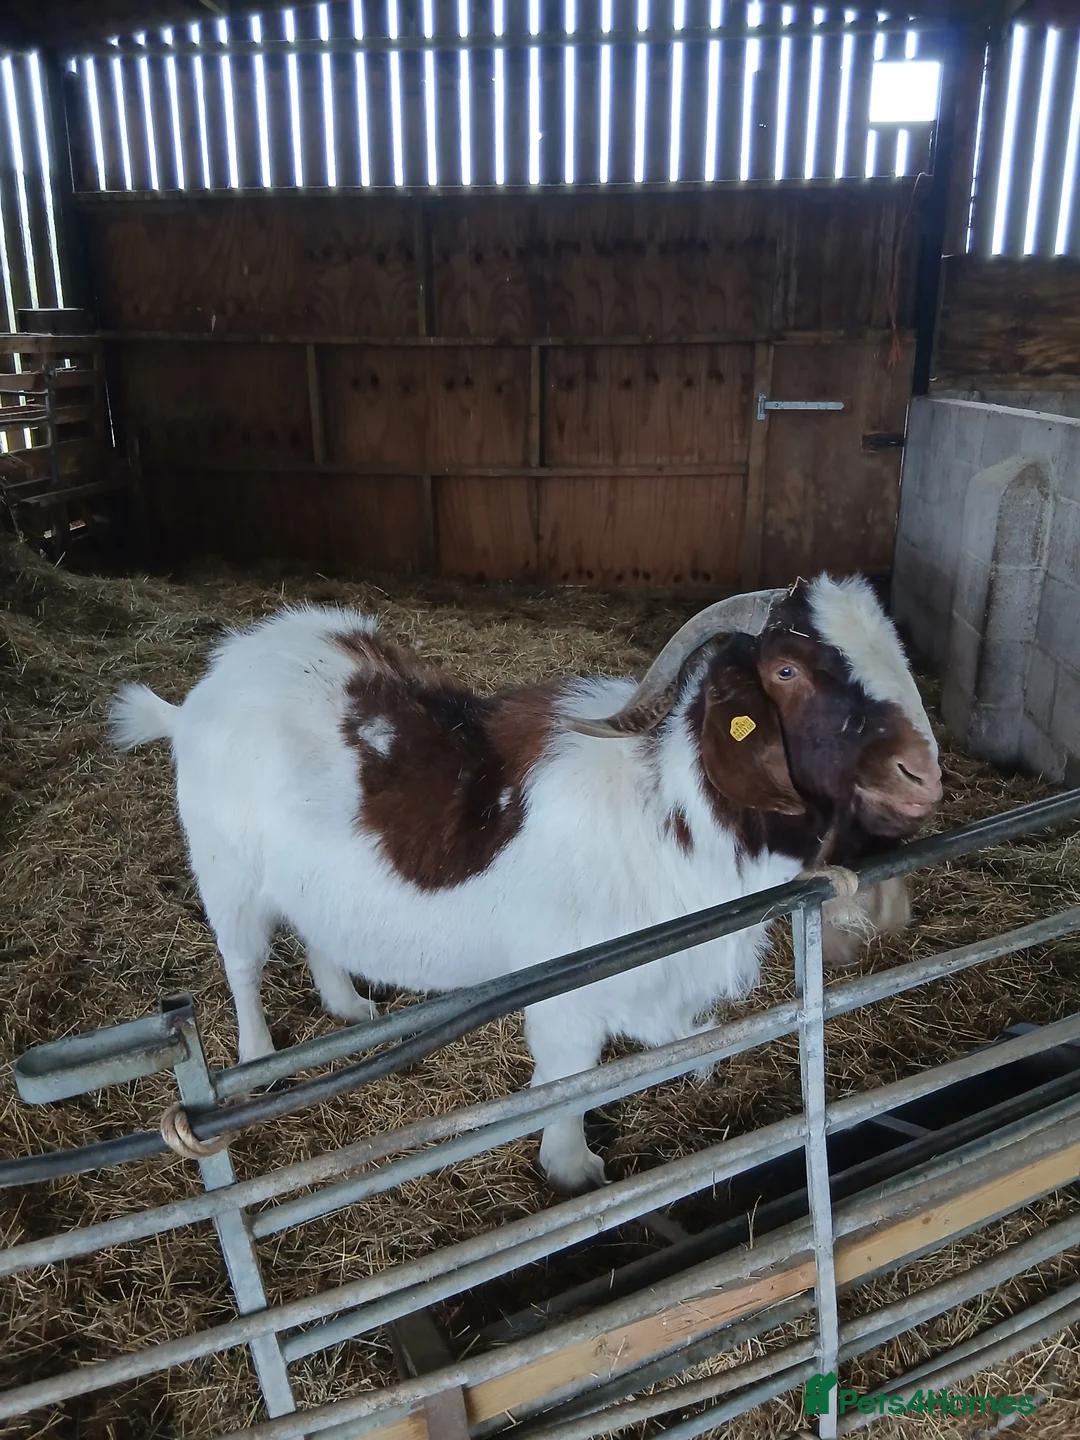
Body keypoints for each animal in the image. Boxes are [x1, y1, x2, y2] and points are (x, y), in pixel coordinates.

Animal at [110, 575, 941, 1192]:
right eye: (786, 671)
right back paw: (254, 1063)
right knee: (243, 962)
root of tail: (203, 694)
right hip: (227, 874)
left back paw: (348, 1007)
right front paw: (573, 1168)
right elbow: (568, 1078)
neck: (664, 808)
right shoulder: (567, 993)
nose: (920, 775)